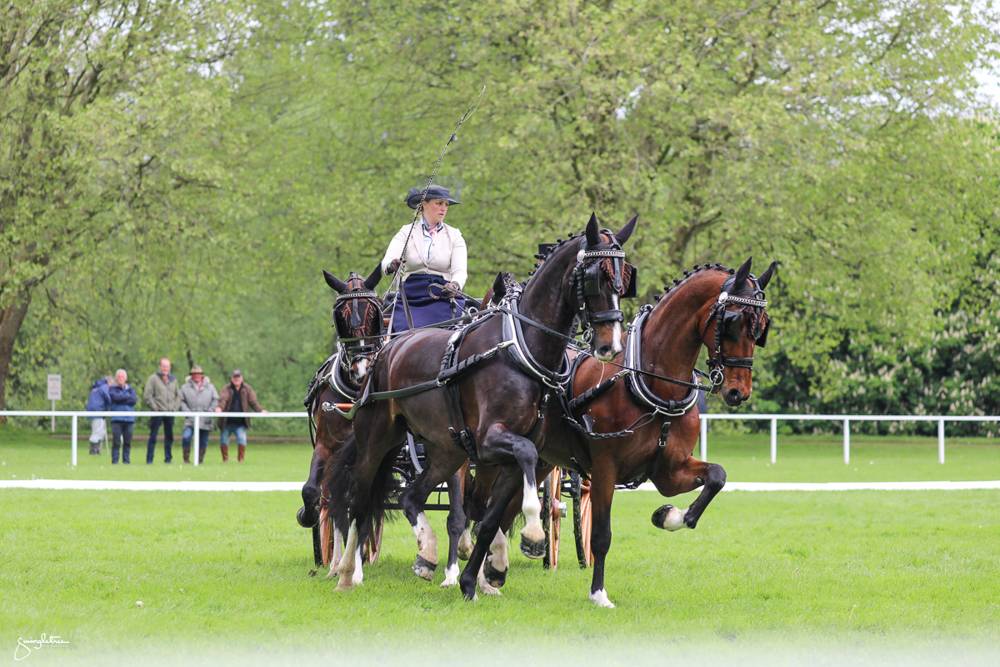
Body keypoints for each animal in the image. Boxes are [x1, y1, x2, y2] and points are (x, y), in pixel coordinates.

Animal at [327, 213, 638, 599]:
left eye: (624, 277)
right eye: (596, 275)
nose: (611, 345)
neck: (519, 348)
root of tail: (387, 349)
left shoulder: (511, 454)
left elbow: (491, 516)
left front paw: (484, 574)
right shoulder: (492, 440)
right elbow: (507, 482)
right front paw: (532, 536)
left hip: (447, 451)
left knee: (411, 496)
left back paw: (427, 553)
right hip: (377, 439)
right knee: (359, 498)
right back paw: (346, 571)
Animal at [476, 258, 776, 607]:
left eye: (761, 326)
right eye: (732, 321)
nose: (738, 392)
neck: (652, 384)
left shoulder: (669, 471)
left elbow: (717, 476)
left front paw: (668, 516)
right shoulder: (605, 468)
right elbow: (601, 535)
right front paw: (598, 593)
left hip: (539, 463)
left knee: (504, 511)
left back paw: (492, 573)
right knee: (479, 511)